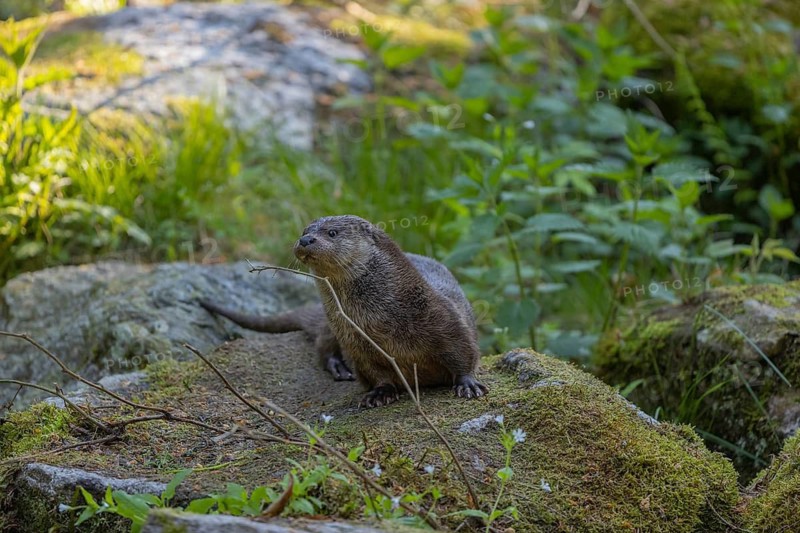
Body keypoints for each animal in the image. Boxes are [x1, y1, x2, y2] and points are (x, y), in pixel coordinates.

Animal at [201, 215, 487, 408]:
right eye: (304, 230)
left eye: (332, 233)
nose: (305, 239)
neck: (381, 322)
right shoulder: (357, 345)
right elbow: (377, 374)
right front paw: (380, 393)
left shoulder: (444, 319)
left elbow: (464, 352)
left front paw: (467, 384)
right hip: (331, 325)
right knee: (322, 345)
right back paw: (338, 365)